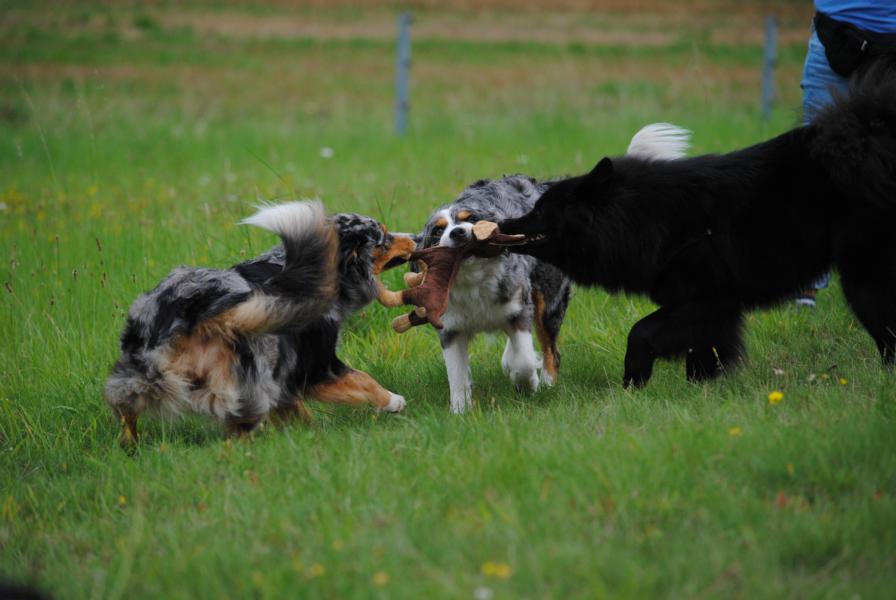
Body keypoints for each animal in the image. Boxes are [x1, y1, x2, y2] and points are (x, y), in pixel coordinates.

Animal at [500, 58, 896, 386]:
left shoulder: (707, 299)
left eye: (541, 210)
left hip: (864, 279)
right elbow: (703, 353)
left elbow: (641, 332)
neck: (648, 219)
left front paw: (633, 382)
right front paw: (701, 391)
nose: (504, 225)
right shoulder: (712, 310)